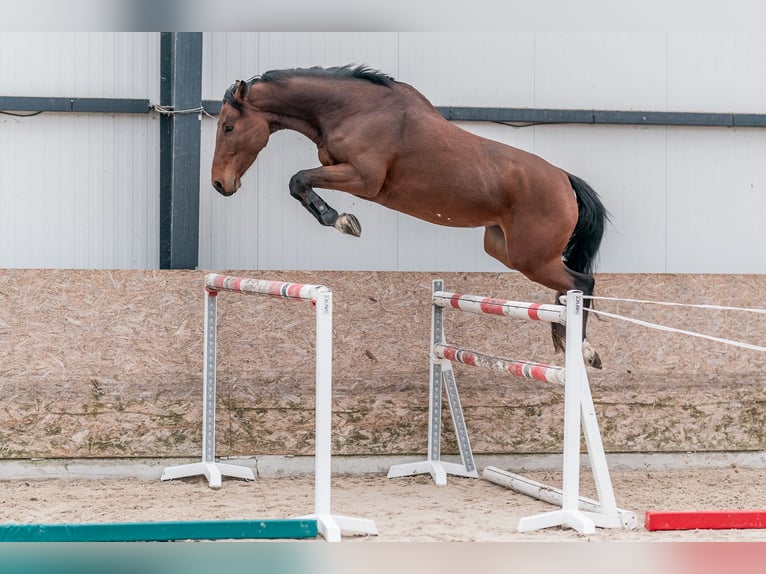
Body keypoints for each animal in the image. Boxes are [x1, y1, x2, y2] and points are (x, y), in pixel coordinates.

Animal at [213, 64, 608, 368]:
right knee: (566, 288)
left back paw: (587, 352)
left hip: (532, 257)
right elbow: (300, 183)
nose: (220, 184)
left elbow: (298, 180)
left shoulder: (363, 179)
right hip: (506, 250)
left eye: (229, 127)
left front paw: (342, 221)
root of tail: (565, 180)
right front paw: (341, 219)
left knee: (580, 283)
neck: (352, 110)